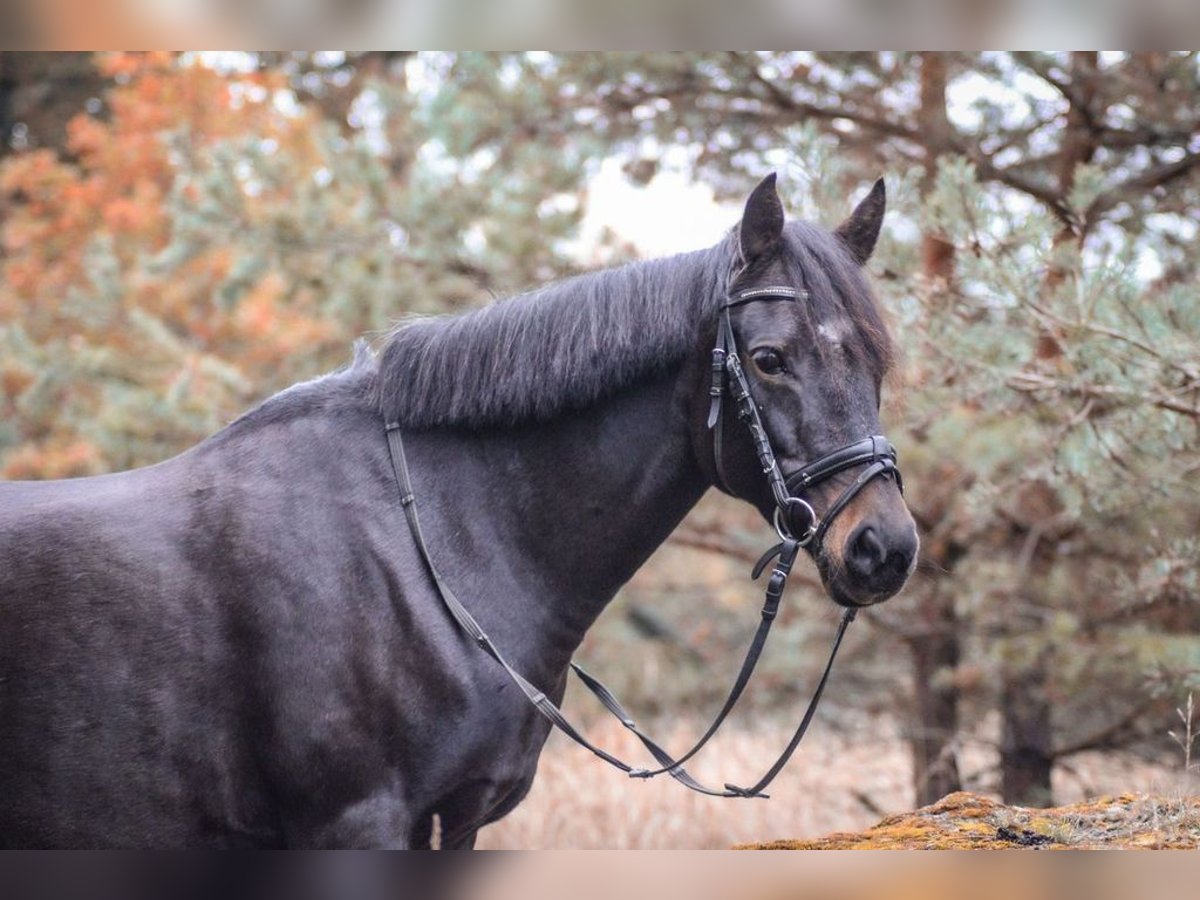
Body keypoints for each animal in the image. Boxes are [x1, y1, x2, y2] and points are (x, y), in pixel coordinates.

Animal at [2, 172, 916, 849]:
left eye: (877, 363)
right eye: (768, 360)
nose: (884, 549)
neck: (435, 545)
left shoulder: (461, 818)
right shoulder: (354, 825)